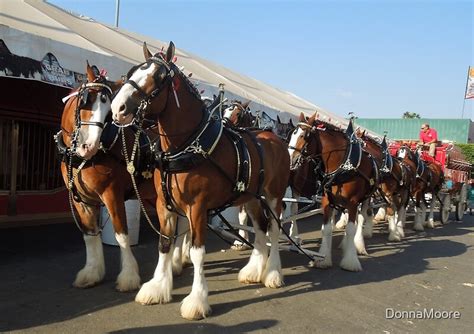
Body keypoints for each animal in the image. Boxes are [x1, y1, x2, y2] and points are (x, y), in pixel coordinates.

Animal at [57, 64, 161, 290]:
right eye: (87, 100)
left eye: (108, 113)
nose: (88, 147)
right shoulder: (82, 200)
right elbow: (89, 235)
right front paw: (91, 272)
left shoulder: (112, 194)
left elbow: (121, 235)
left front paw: (129, 276)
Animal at [112, 42, 288, 320]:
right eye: (133, 71)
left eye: (158, 77)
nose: (117, 108)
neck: (188, 145)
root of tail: (274, 138)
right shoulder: (164, 205)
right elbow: (164, 244)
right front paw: (157, 287)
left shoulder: (197, 208)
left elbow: (197, 253)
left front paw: (196, 300)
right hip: (250, 198)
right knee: (260, 228)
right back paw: (254, 271)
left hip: (274, 196)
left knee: (273, 228)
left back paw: (272, 273)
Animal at [286, 112, 380, 272]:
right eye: (292, 134)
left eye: (304, 136)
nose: (289, 159)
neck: (342, 165)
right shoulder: (327, 200)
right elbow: (326, 229)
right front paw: (323, 259)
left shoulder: (353, 203)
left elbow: (351, 228)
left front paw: (350, 261)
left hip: (365, 199)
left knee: (361, 219)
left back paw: (358, 245)